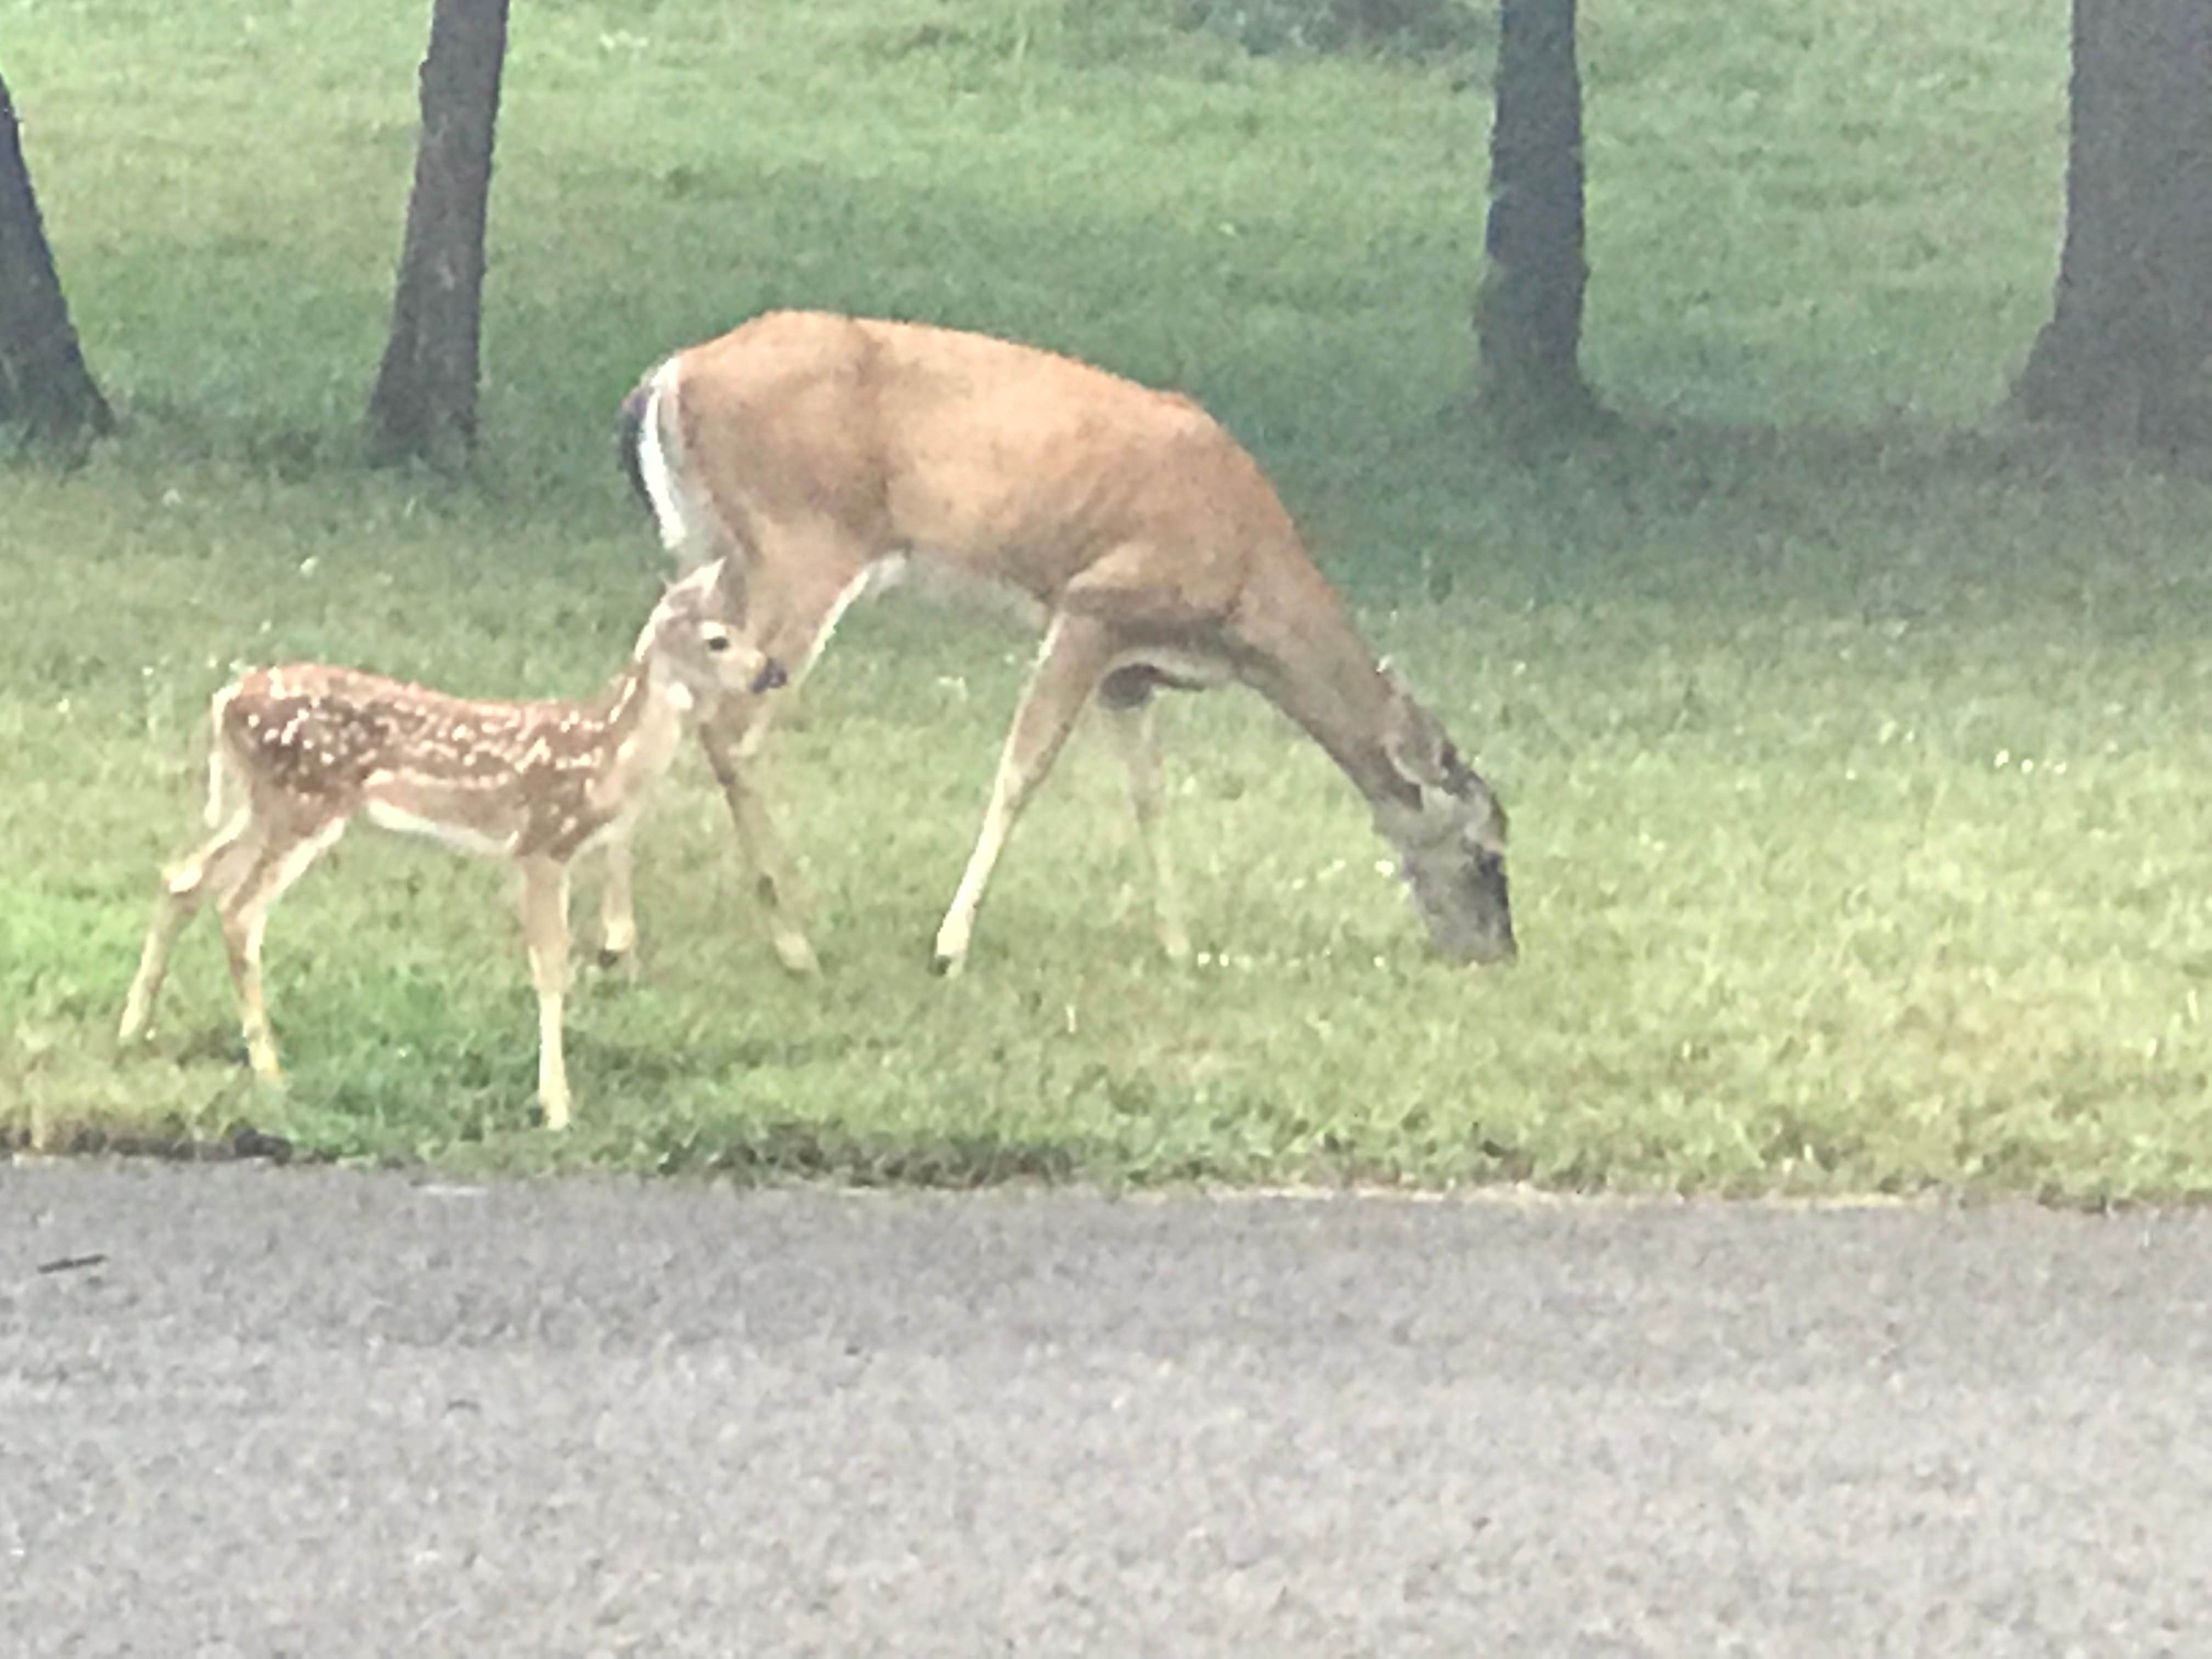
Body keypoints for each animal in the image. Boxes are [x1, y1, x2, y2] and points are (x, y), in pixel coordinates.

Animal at [119, 562, 787, 1132]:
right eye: (718, 640)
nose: (772, 671)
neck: (604, 757)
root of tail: (225, 699)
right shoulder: (540, 844)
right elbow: (551, 968)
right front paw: (557, 1106)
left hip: (263, 804)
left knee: (183, 877)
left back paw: (133, 1031)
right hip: (304, 801)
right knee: (238, 910)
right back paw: (270, 1071)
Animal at [619, 312, 1522, 973]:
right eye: (1486, 854)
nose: (1498, 954)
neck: (1244, 584)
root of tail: (671, 373)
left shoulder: (1133, 667)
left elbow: (1150, 792)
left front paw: (1178, 945)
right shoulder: (1093, 603)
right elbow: (1023, 769)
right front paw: (950, 946)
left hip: (711, 554)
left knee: (660, 689)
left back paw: (631, 934)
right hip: (804, 542)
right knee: (732, 731)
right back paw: (797, 940)